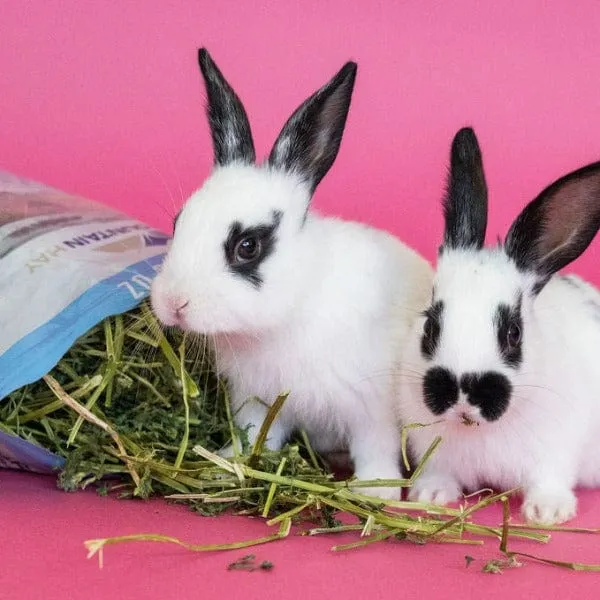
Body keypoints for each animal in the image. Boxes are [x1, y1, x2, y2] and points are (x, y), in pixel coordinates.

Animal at [149, 47, 432, 500]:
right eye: (178, 223)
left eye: (248, 246)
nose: (174, 303)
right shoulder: (257, 401)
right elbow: (254, 434)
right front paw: (230, 462)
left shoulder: (372, 407)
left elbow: (376, 446)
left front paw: (375, 491)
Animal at [400, 127, 600, 524]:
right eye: (431, 325)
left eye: (513, 333)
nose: (462, 390)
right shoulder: (433, 449)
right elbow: (439, 473)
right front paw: (430, 495)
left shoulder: (557, 449)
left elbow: (550, 478)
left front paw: (547, 512)